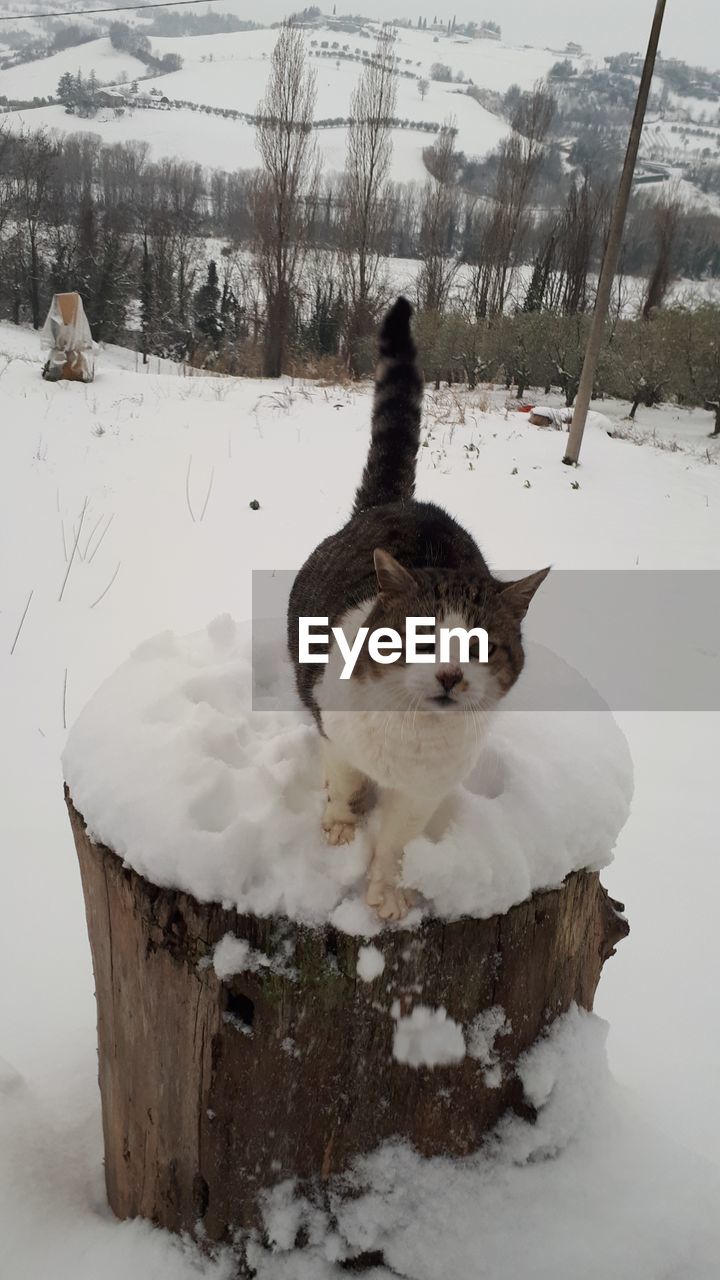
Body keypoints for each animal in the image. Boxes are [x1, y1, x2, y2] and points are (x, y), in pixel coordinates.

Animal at [288, 299, 545, 921]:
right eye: (421, 637)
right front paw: (340, 823)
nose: (451, 676)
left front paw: (386, 890)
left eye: (480, 646)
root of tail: (401, 503)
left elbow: (397, 842)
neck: (414, 734)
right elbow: (343, 782)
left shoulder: (423, 792)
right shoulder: (337, 733)